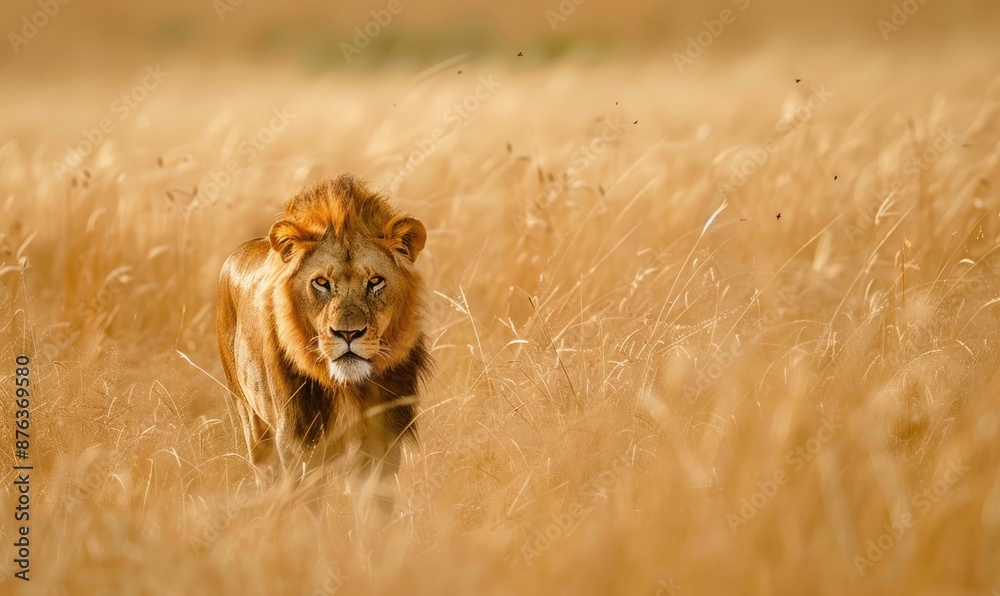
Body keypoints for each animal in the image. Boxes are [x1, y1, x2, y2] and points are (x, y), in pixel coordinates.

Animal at [216, 174, 429, 524]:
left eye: (375, 281)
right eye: (321, 283)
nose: (348, 333)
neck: (349, 387)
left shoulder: (383, 440)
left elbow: (374, 515)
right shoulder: (299, 445)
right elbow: (309, 516)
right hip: (251, 421)